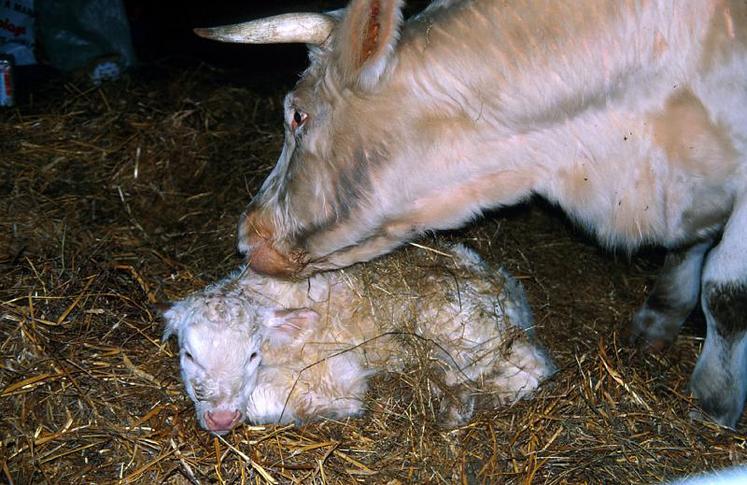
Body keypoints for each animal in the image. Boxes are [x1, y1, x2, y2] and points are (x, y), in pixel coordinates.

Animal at [196, 1, 747, 428]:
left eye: (297, 114)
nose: (247, 236)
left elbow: (726, 292)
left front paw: (713, 402)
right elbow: (688, 247)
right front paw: (658, 319)